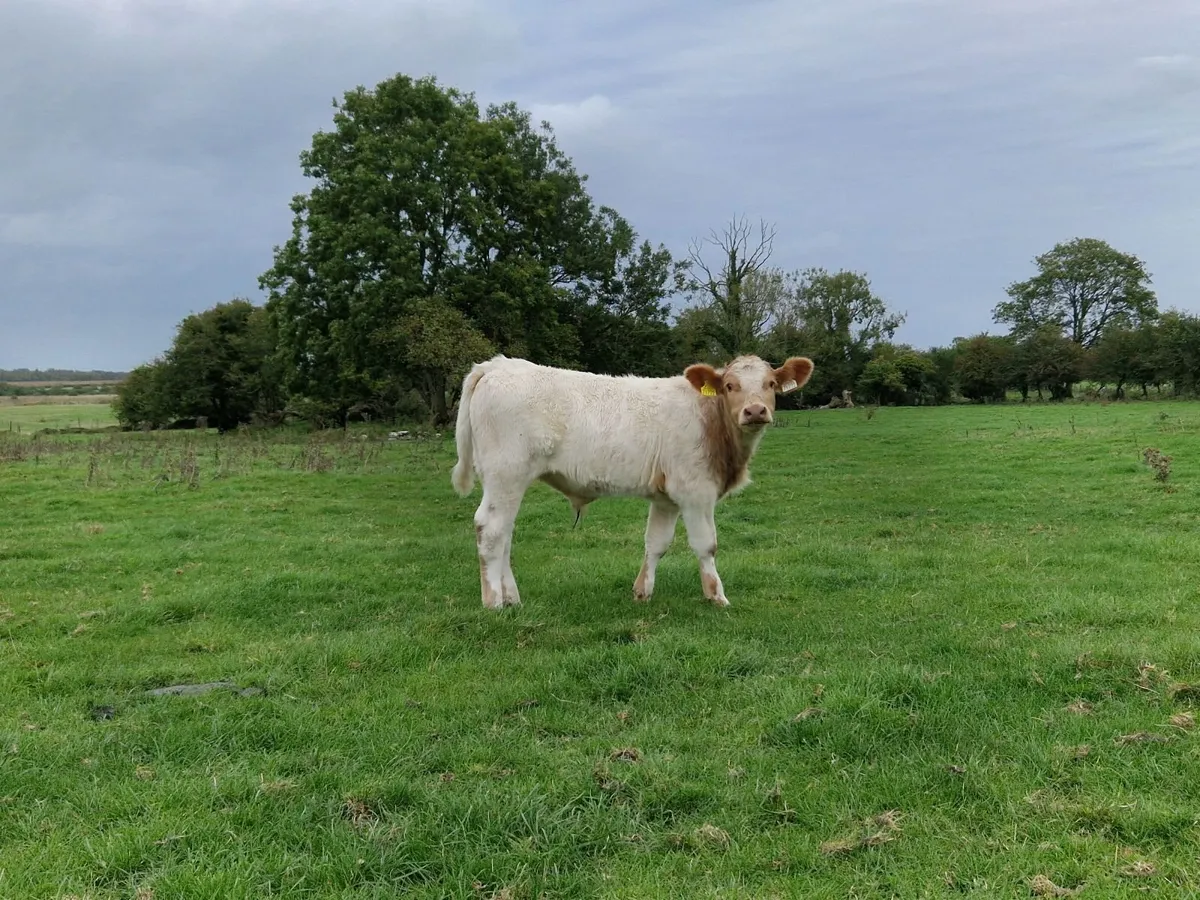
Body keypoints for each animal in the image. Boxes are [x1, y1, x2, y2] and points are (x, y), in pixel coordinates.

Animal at [450, 353, 814, 609]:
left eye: (770, 384)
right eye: (729, 386)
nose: (755, 411)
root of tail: (497, 365)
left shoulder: (666, 498)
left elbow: (656, 543)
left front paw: (642, 592)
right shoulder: (696, 491)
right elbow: (706, 545)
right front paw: (716, 596)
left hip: (508, 482)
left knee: (505, 534)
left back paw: (512, 597)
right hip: (505, 474)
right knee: (491, 530)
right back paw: (494, 601)